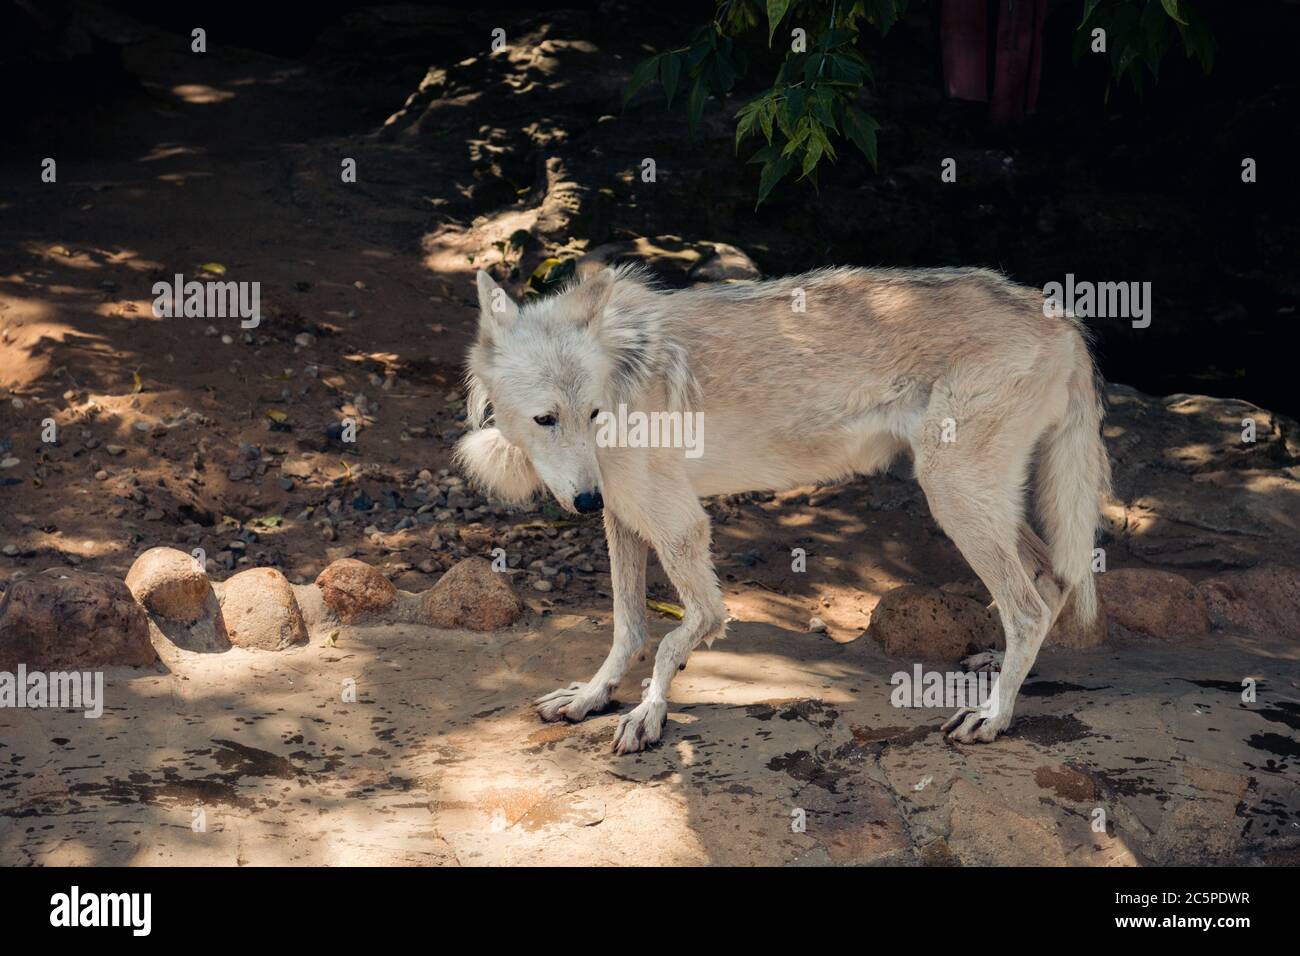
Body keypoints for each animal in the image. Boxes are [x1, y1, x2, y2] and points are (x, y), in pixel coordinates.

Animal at [456, 264, 1109, 754]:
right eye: (546, 418)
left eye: (590, 413)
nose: (585, 499)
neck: (622, 378)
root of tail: (1061, 317)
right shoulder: (622, 516)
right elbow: (628, 626)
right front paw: (593, 696)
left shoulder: (682, 526)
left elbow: (683, 631)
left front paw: (649, 714)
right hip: (982, 502)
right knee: (1051, 583)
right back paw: (1000, 670)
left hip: (954, 496)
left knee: (1026, 607)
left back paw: (994, 716)